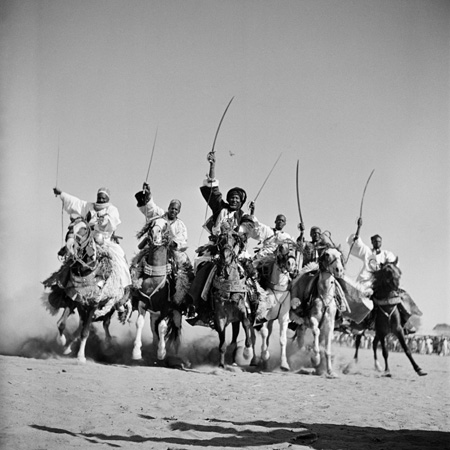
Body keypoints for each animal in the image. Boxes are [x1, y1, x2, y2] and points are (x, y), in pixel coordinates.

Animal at [42, 216, 129, 360]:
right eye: (69, 227)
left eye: (84, 229)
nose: (69, 247)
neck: (85, 270)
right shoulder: (74, 298)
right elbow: (61, 324)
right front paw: (62, 342)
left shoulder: (94, 304)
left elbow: (85, 331)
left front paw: (81, 357)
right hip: (83, 307)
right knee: (81, 324)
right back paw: (68, 347)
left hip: (109, 306)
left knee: (105, 323)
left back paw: (107, 345)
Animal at [129, 215, 191, 362]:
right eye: (152, 224)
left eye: (165, 225)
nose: (155, 235)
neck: (155, 277)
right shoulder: (143, 303)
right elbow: (140, 323)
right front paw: (136, 352)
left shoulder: (166, 307)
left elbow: (163, 327)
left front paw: (161, 352)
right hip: (154, 313)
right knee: (153, 327)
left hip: (176, 312)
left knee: (176, 330)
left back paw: (175, 355)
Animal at [251, 241, 300, 370]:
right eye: (281, 247)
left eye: (295, 248)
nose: (291, 264)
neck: (278, 289)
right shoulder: (262, 316)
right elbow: (264, 333)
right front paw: (265, 355)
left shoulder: (283, 317)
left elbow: (282, 339)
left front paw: (284, 363)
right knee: (252, 337)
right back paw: (253, 359)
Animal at [290, 248, 346, 378]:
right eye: (327, 254)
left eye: (340, 255)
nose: (339, 270)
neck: (324, 294)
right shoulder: (312, 319)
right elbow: (316, 331)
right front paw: (315, 359)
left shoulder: (330, 324)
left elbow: (327, 348)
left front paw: (330, 372)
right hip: (302, 324)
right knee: (301, 341)